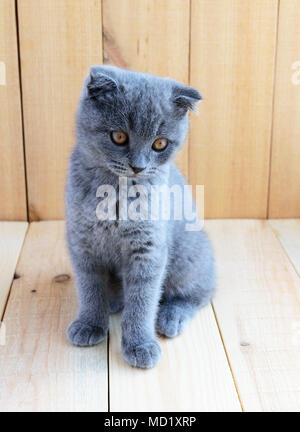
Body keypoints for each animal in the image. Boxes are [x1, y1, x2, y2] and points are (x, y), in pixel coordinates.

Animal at [65, 66, 216, 370]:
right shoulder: (82, 243)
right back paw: (113, 299)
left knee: (200, 291)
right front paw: (89, 323)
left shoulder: (148, 248)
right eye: (119, 137)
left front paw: (140, 344)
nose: (138, 166)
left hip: (186, 258)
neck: (115, 192)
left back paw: (171, 316)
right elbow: (89, 288)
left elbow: (142, 301)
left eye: (160, 143)